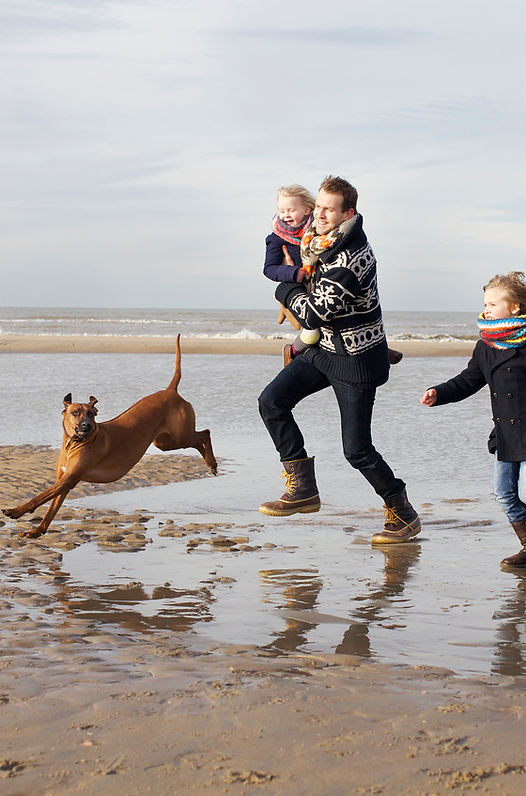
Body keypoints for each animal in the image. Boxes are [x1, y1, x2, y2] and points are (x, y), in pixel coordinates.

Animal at [3, 335, 217, 539]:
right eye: (75, 413)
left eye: (91, 414)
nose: (86, 426)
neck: (74, 444)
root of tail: (170, 391)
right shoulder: (63, 480)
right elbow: (51, 510)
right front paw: (36, 531)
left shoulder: (69, 479)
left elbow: (38, 497)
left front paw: (15, 511)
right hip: (164, 442)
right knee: (199, 438)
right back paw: (210, 464)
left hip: (180, 435)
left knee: (205, 433)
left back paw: (212, 462)